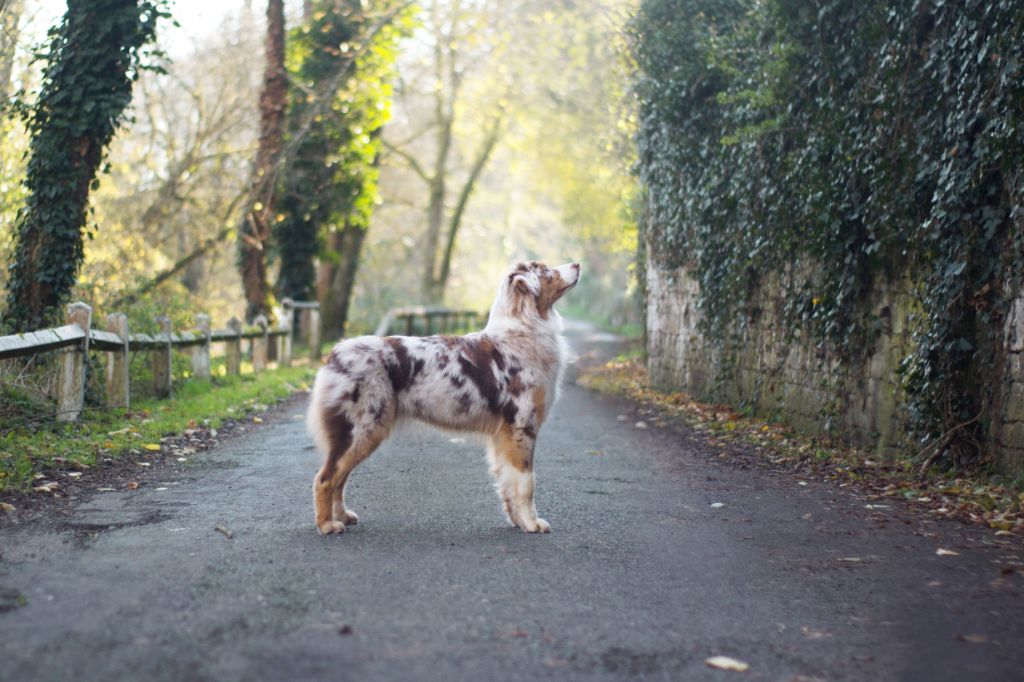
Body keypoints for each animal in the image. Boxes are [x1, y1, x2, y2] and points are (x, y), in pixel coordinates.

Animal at [303, 259, 581, 532]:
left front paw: (517, 520)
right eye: (545, 270)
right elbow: (526, 481)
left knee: (339, 478)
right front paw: (532, 523)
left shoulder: (503, 435)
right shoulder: (521, 426)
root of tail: (335, 354)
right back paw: (328, 525)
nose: (577, 264)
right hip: (362, 429)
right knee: (325, 478)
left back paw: (343, 516)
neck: (523, 331)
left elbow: (508, 482)